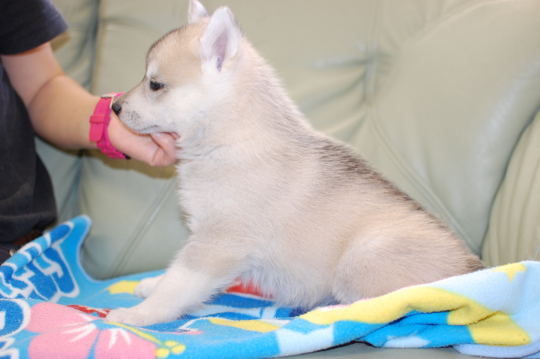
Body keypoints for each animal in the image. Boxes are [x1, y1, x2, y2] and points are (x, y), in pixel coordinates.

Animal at [104, 0, 480, 326]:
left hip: (360, 259)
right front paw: (151, 286)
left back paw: (328, 314)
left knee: (388, 303)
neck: (230, 138)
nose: (115, 107)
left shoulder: (218, 242)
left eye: (155, 84)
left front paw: (139, 314)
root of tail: (472, 269)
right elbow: (174, 275)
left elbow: (178, 284)